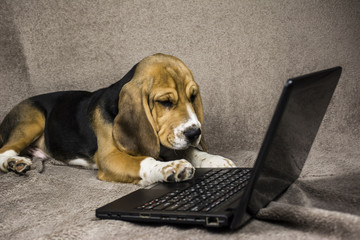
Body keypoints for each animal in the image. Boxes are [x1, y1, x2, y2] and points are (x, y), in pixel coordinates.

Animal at [0, 54, 236, 186]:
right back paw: (14, 162)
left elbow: (193, 152)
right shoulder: (110, 158)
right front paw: (169, 168)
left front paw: (215, 160)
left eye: (193, 97)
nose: (195, 133)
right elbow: (144, 161)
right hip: (33, 120)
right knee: (4, 150)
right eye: (165, 102)